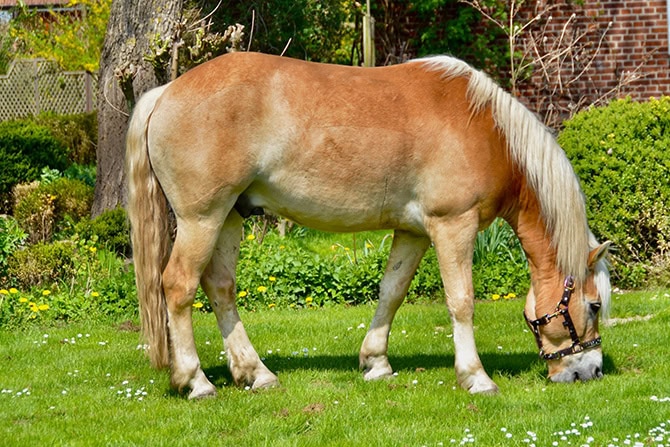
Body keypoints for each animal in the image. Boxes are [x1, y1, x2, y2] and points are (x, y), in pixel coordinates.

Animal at [126, 52, 611, 398]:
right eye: (594, 305)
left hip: (229, 217)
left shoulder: (413, 231)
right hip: (201, 219)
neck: (485, 128)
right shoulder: (452, 225)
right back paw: (196, 382)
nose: (589, 371)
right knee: (179, 286)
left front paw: (376, 363)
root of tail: (166, 91)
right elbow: (461, 301)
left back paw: (255, 373)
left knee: (220, 287)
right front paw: (476, 377)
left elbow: (391, 292)